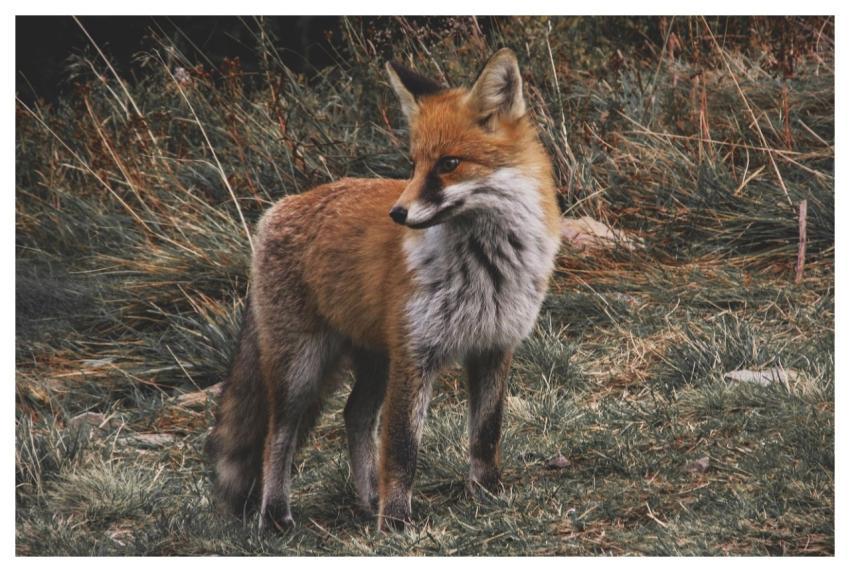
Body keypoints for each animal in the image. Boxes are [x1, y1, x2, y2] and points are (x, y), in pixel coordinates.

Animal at [206, 48, 561, 532]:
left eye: (448, 164)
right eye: (413, 164)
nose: (398, 213)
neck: (485, 266)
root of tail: (277, 209)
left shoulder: (494, 345)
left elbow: (486, 434)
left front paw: (487, 493)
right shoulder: (415, 355)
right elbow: (402, 448)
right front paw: (395, 523)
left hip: (375, 360)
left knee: (354, 415)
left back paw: (366, 498)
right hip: (301, 368)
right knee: (277, 436)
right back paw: (277, 514)